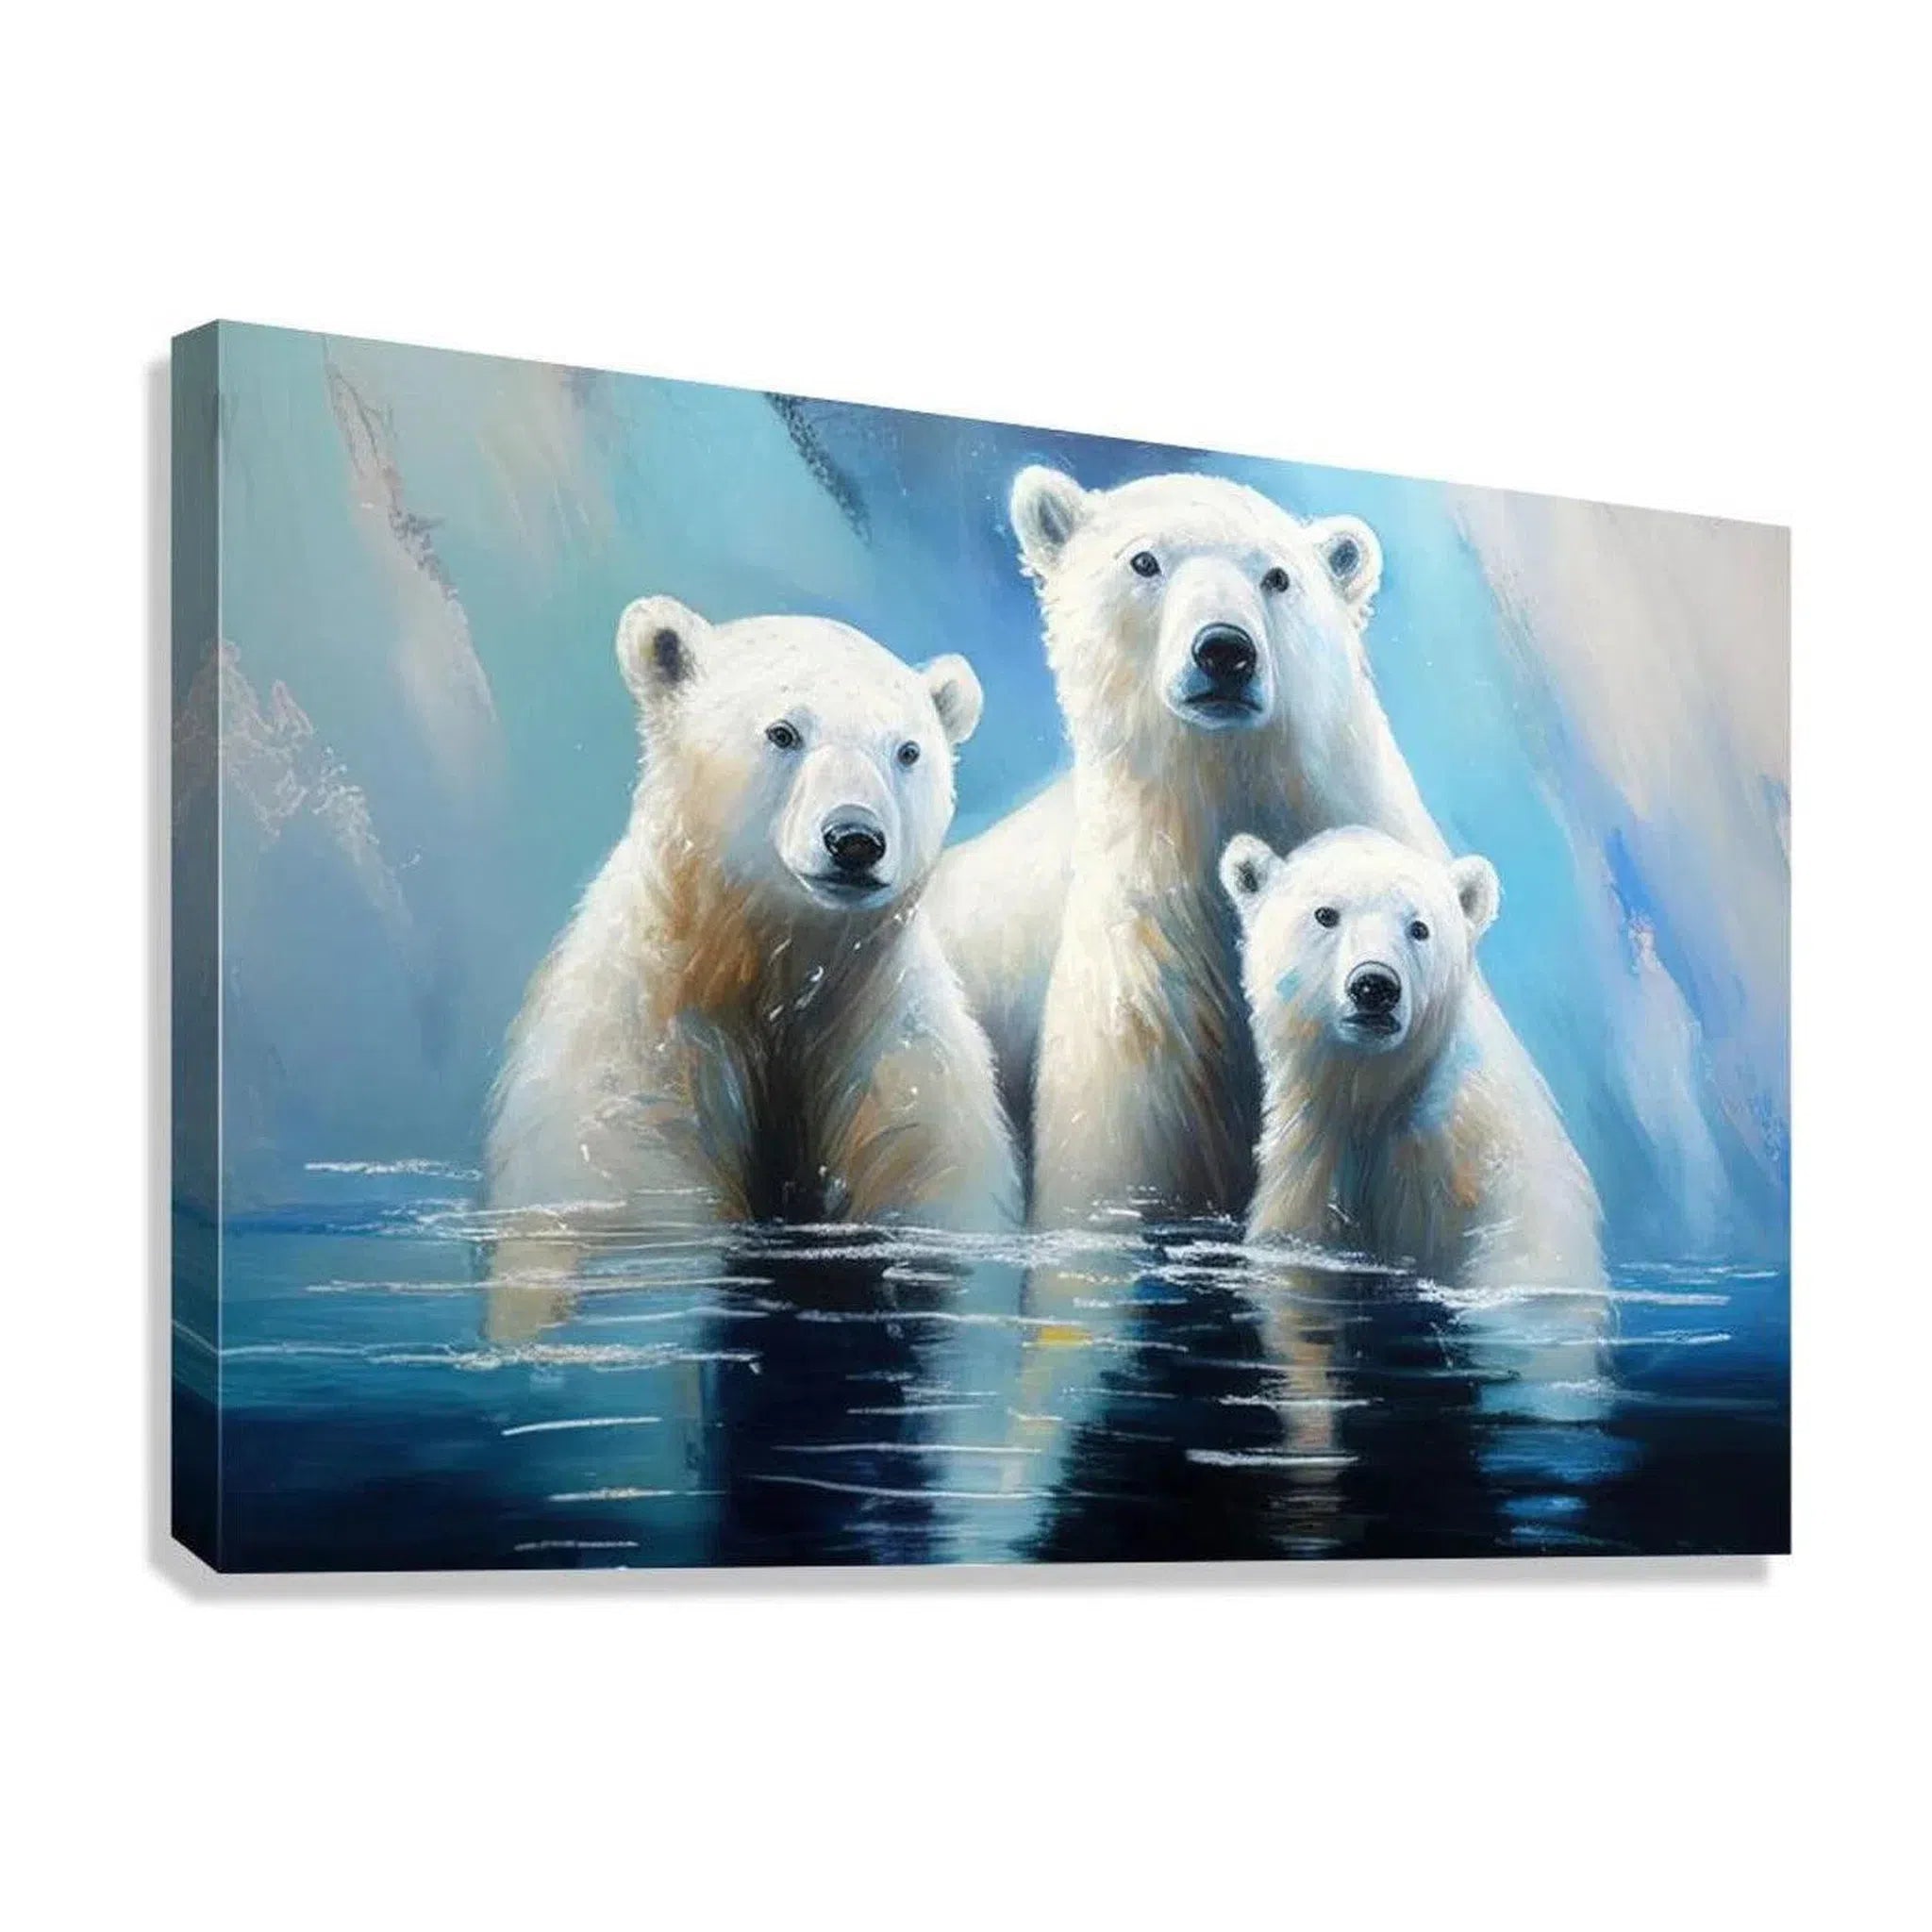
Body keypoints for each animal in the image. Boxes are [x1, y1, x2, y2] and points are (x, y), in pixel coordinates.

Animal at [485, 596, 1021, 1249]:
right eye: (783, 731)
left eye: (908, 750)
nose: (855, 840)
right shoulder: (637, 1045)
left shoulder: (896, 1053)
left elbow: (923, 1171)